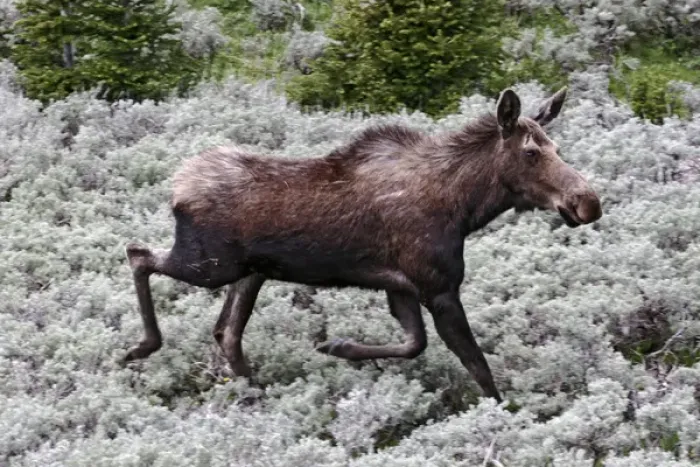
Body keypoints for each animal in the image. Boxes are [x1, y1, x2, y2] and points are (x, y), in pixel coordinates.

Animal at [123, 87, 602, 402]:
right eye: (531, 152)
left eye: (556, 146)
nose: (588, 201)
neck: (465, 208)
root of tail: (177, 186)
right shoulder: (439, 287)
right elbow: (478, 368)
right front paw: (504, 414)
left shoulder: (401, 286)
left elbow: (414, 344)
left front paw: (339, 347)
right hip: (209, 263)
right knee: (138, 254)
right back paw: (142, 346)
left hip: (249, 271)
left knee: (226, 332)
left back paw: (259, 391)